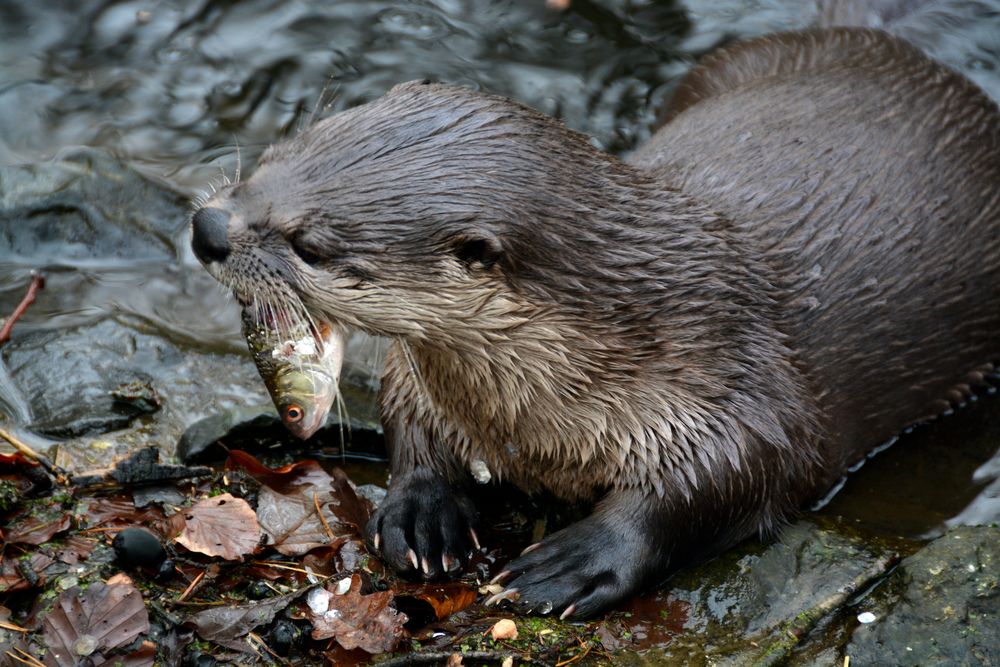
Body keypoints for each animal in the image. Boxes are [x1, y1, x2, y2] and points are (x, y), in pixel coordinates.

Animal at [193, 27, 1000, 620]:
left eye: (311, 245)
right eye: (272, 157)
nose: (208, 228)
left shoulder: (746, 389)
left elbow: (732, 476)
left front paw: (582, 559)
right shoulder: (420, 374)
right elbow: (408, 420)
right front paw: (422, 509)